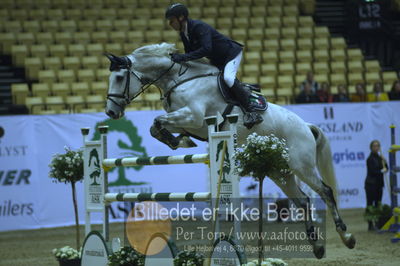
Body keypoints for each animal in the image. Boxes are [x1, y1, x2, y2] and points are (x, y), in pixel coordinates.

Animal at [104, 42, 354, 258]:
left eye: (119, 77)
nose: (110, 112)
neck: (179, 80)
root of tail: (306, 126)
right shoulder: (186, 120)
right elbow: (156, 126)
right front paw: (180, 141)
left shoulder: (194, 117)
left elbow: (158, 121)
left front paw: (180, 142)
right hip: (280, 172)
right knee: (303, 201)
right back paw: (317, 246)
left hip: (301, 165)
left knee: (325, 192)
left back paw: (346, 236)